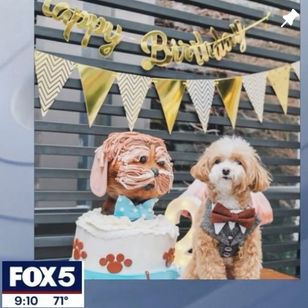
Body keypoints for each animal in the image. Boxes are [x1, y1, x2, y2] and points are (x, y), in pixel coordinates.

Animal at [183, 136, 272, 280]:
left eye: (239, 162)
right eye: (217, 161)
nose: (225, 170)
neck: (230, 211)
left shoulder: (249, 247)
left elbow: (248, 270)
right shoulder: (207, 247)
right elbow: (212, 271)